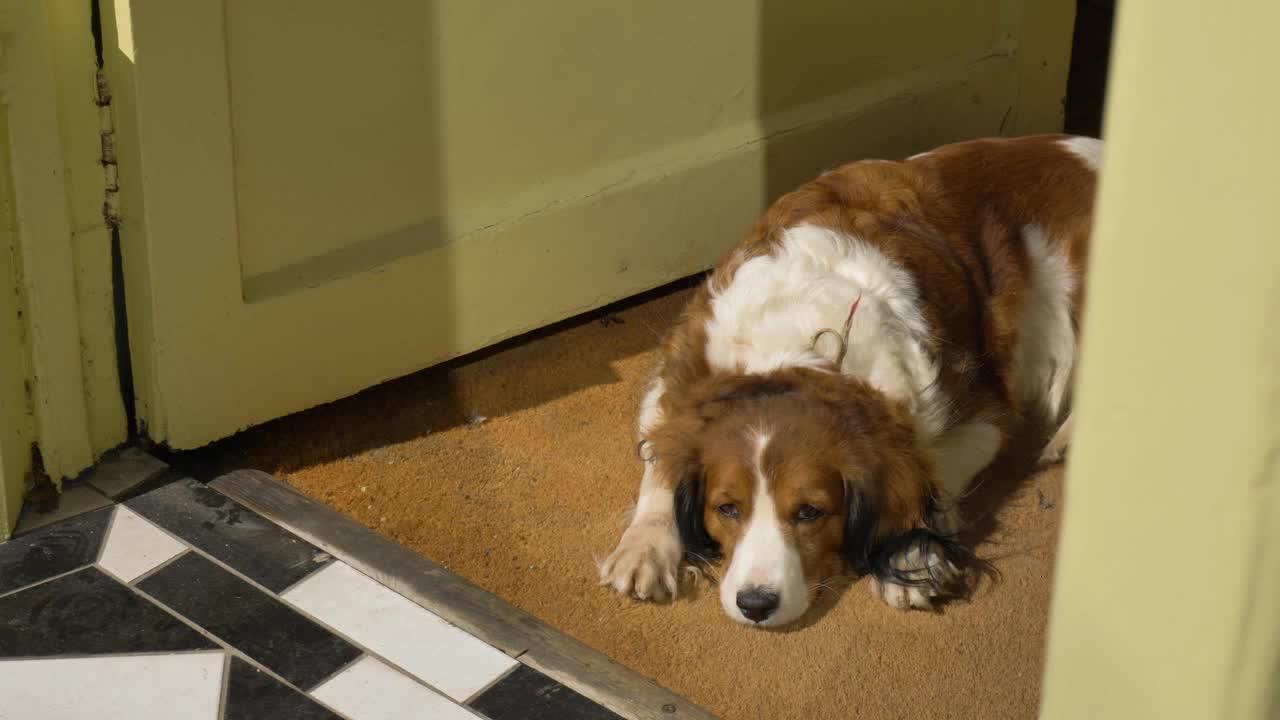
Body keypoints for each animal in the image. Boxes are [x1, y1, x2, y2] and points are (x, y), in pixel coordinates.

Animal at [593, 133, 1095, 622]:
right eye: (727, 508)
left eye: (809, 512)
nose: (755, 604)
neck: (801, 342)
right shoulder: (678, 375)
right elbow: (662, 455)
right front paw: (647, 544)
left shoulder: (984, 413)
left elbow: (930, 474)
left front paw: (913, 553)